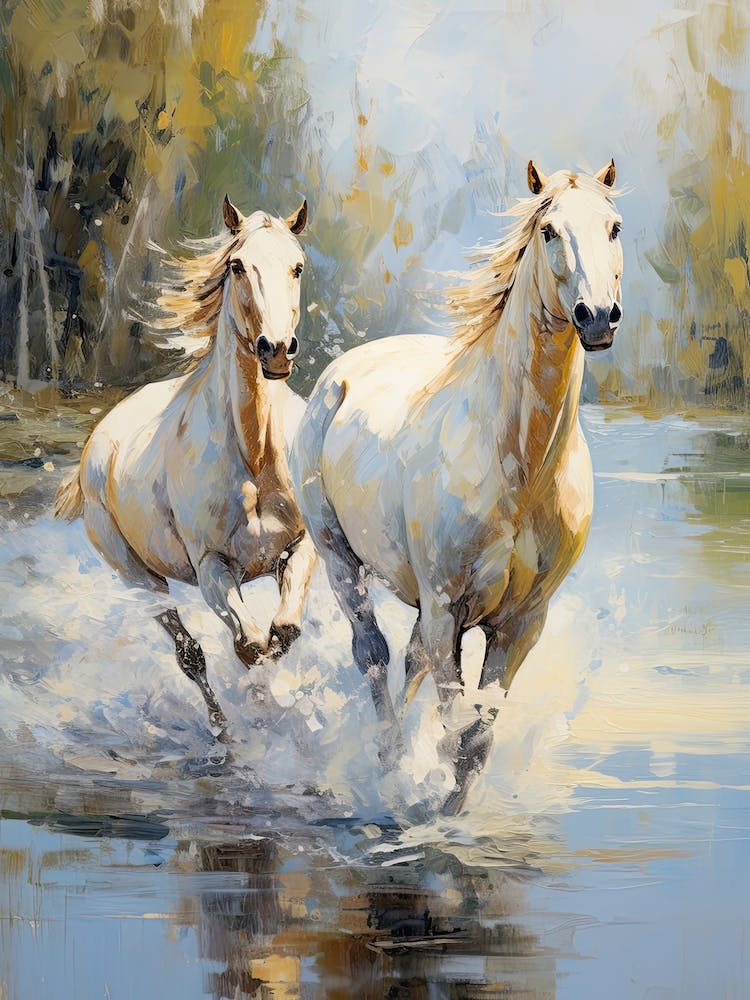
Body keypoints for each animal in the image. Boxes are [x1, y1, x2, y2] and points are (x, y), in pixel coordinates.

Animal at [55, 196, 316, 739]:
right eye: (237, 266)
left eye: (298, 265)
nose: (277, 350)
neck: (254, 454)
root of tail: (99, 441)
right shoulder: (213, 567)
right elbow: (251, 645)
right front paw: (260, 708)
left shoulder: (301, 547)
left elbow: (283, 632)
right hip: (139, 578)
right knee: (188, 653)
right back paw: (221, 730)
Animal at [290, 161, 623, 814]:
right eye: (548, 230)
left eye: (615, 226)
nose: (598, 316)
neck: (518, 470)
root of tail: (339, 376)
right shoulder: (449, 608)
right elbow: (453, 729)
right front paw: (424, 803)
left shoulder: (521, 623)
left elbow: (478, 737)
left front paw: (451, 815)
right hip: (341, 560)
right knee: (374, 655)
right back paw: (389, 763)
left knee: (408, 660)